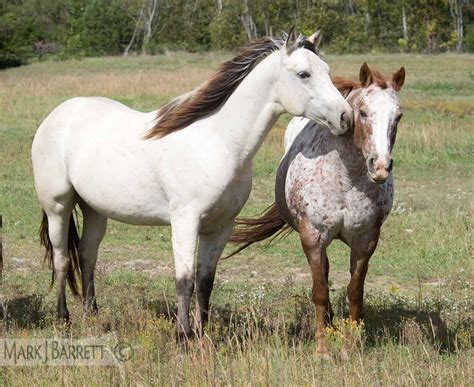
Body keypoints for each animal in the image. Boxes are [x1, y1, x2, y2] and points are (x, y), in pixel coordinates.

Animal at [31, 28, 352, 336]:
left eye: (326, 69)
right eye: (304, 74)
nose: (345, 117)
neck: (217, 142)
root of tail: (56, 115)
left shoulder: (220, 226)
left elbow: (205, 281)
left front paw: (202, 334)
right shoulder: (185, 221)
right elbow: (184, 281)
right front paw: (183, 336)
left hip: (95, 210)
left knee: (87, 255)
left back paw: (92, 315)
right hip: (58, 207)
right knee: (62, 258)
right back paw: (64, 319)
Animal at [228, 63, 406, 358]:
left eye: (398, 116)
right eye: (363, 112)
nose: (380, 166)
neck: (346, 178)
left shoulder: (366, 240)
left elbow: (355, 291)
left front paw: (350, 346)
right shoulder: (312, 237)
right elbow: (320, 291)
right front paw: (322, 350)